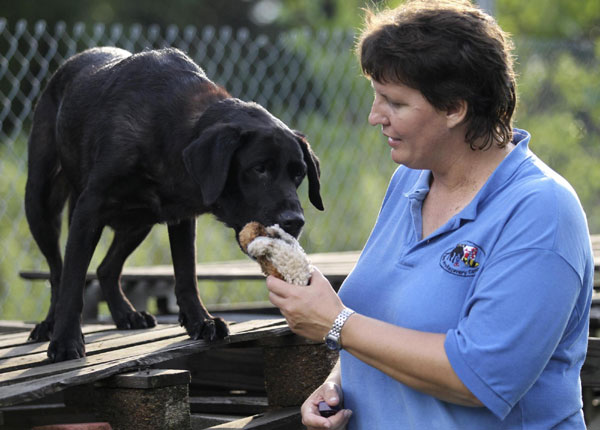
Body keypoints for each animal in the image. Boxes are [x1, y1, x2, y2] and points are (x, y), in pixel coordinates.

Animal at [24, 46, 324, 362]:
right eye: (259, 169)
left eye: (298, 174)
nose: (294, 221)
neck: (171, 128)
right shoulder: (88, 211)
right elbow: (72, 281)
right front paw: (66, 341)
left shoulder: (181, 218)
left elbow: (186, 275)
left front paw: (201, 321)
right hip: (41, 205)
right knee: (57, 272)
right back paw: (49, 325)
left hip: (138, 223)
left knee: (107, 268)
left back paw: (125, 314)